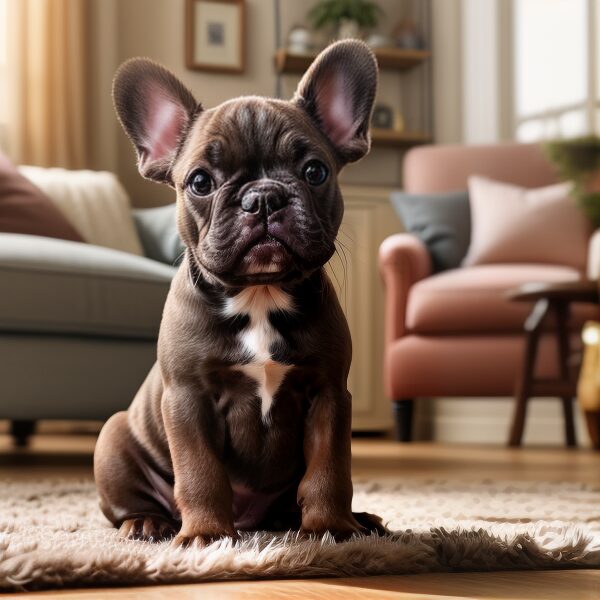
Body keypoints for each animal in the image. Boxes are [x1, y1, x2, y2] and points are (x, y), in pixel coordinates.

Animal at [94, 37, 384, 548]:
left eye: (315, 171)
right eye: (200, 182)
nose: (263, 197)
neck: (259, 296)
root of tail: (254, 521)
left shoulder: (329, 394)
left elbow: (330, 469)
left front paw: (330, 528)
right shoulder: (188, 398)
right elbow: (200, 472)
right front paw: (205, 535)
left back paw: (355, 521)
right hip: (113, 439)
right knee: (132, 501)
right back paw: (150, 523)